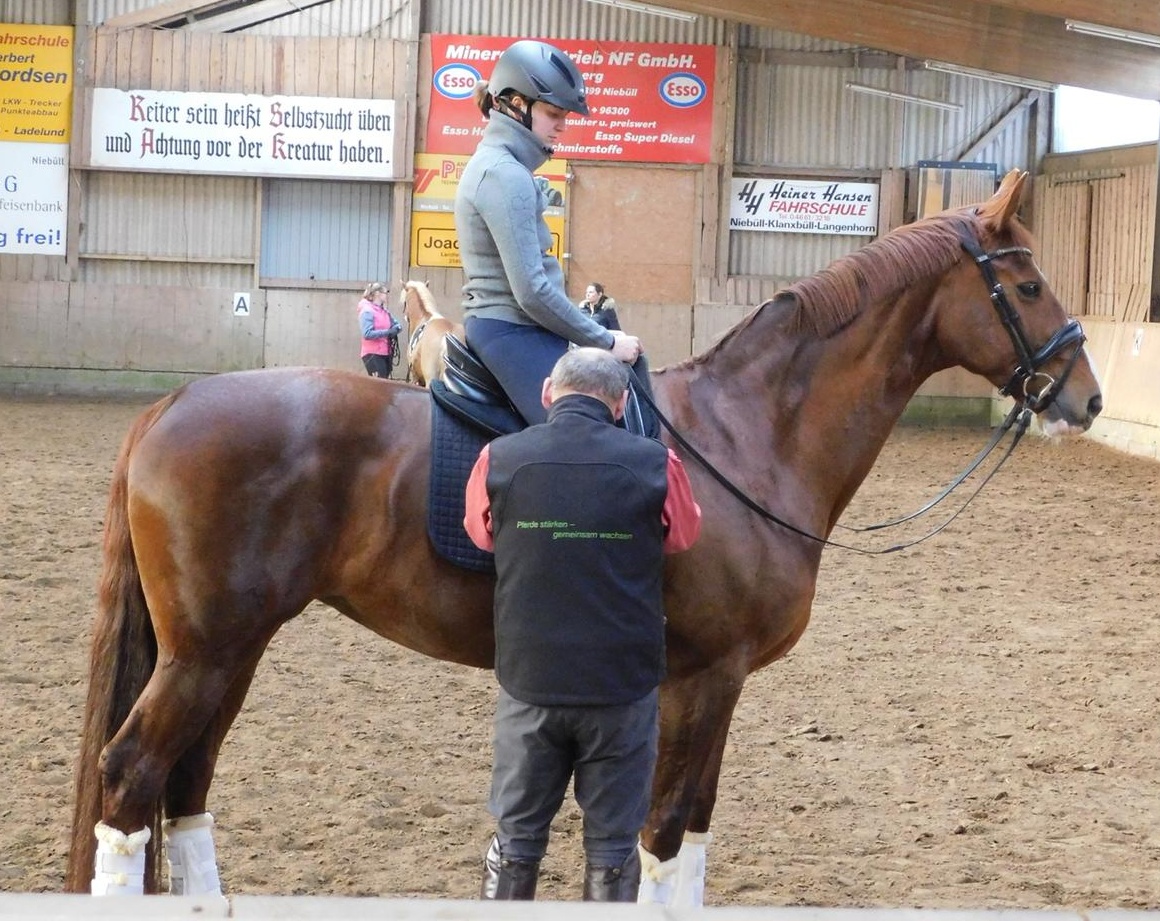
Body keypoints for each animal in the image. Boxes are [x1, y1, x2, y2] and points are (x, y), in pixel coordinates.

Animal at [66, 170, 1101, 901]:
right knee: (131, 777)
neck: (747, 432)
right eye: (1029, 283)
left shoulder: (719, 683)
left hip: (231, 650)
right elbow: (666, 835)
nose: (1086, 397)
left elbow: (694, 830)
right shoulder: (702, 676)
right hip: (205, 651)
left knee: (185, 784)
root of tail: (174, 402)